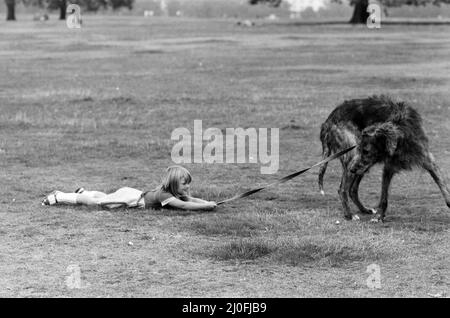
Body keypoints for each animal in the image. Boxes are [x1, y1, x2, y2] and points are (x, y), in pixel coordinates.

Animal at [320, 95, 450, 222]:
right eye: (360, 150)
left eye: (366, 151)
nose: (351, 169)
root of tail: (329, 120)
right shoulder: (388, 168)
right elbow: (384, 197)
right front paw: (379, 217)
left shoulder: (428, 161)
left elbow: (443, 186)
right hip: (353, 158)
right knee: (342, 189)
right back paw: (349, 215)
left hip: (362, 167)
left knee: (352, 190)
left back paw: (364, 209)